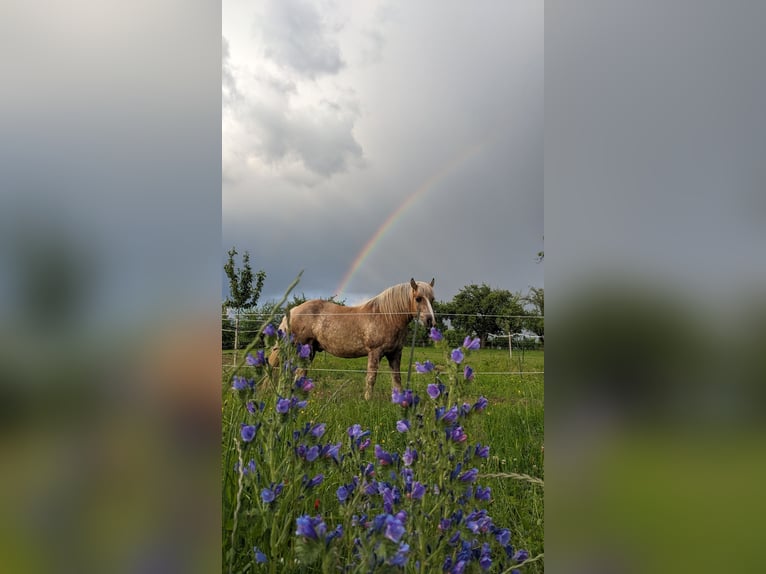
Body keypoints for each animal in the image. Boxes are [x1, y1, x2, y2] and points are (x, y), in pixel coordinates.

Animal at [270, 280, 438, 400]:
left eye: (432, 299)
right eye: (418, 299)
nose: (430, 321)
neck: (386, 316)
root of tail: (292, 311)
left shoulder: (395, 354)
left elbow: (397, 379)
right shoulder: (375, 352)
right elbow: (371, 378)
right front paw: (368, 401)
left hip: (309, 351)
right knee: (295, 374)